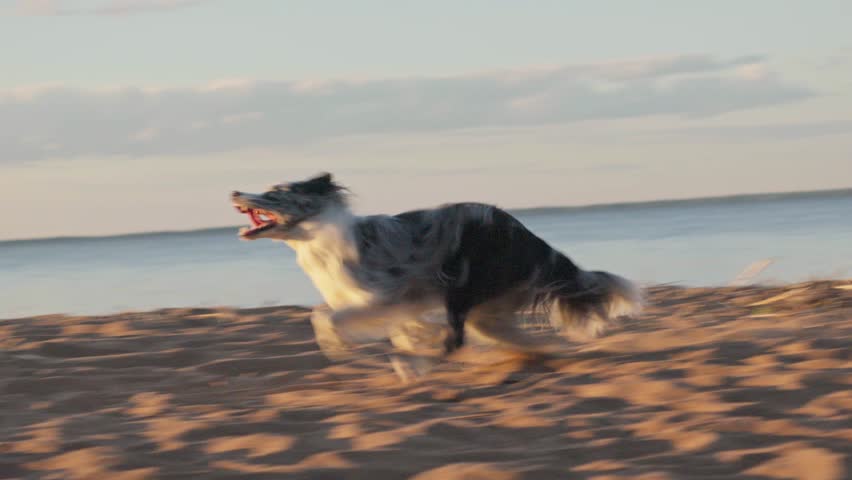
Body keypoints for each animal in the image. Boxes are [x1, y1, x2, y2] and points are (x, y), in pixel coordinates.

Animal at [230, 172, 644, 378]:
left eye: (274, 193)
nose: (234, 191)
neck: (317, 236)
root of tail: (529, 236)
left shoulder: (389, 294)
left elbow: (328, 317)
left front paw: (340, 344)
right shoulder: (401, 300)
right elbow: (328, 315)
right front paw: (415, 338)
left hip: (462, 288)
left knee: (456, 339)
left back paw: (415, 367)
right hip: (484, 308)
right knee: (498, 335)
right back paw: (540, 353)